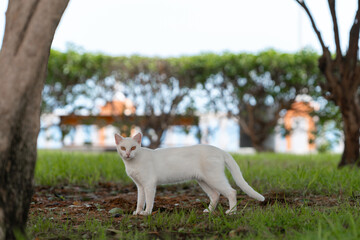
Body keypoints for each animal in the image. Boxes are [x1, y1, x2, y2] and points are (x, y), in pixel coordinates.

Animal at [115, 132, 264, 217]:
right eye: (123, 148)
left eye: (133, 147)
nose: (127, 154)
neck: (132, 164)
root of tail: (220, 150)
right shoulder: (140, 186)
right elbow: (140, 201)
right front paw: (138, 212)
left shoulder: (149, 184)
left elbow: (149, 201)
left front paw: (146, 213)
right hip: (203, 180)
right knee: (215, 195)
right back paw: (209, 211)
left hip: (214, 178)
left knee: (232, 192)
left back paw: (232, 212)